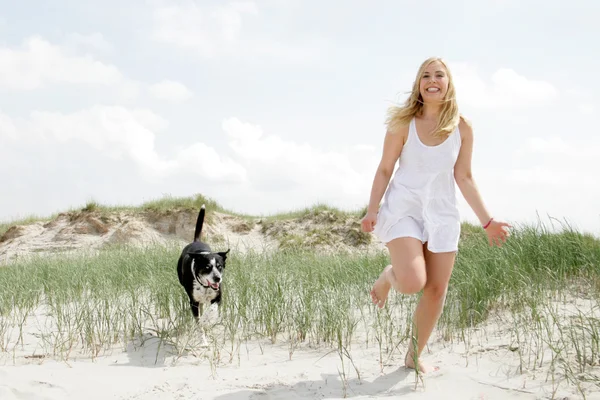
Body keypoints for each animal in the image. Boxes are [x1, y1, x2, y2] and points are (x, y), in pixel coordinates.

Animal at [177, 205, 229, 346]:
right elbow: (199, 323)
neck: (205, 286)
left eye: (220, 266)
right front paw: (203, 340)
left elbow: (211, 310)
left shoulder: (218, 297)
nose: (218, 278)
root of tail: (196, 241)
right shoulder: (193, 302)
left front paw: (208, 320)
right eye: (207, 267)